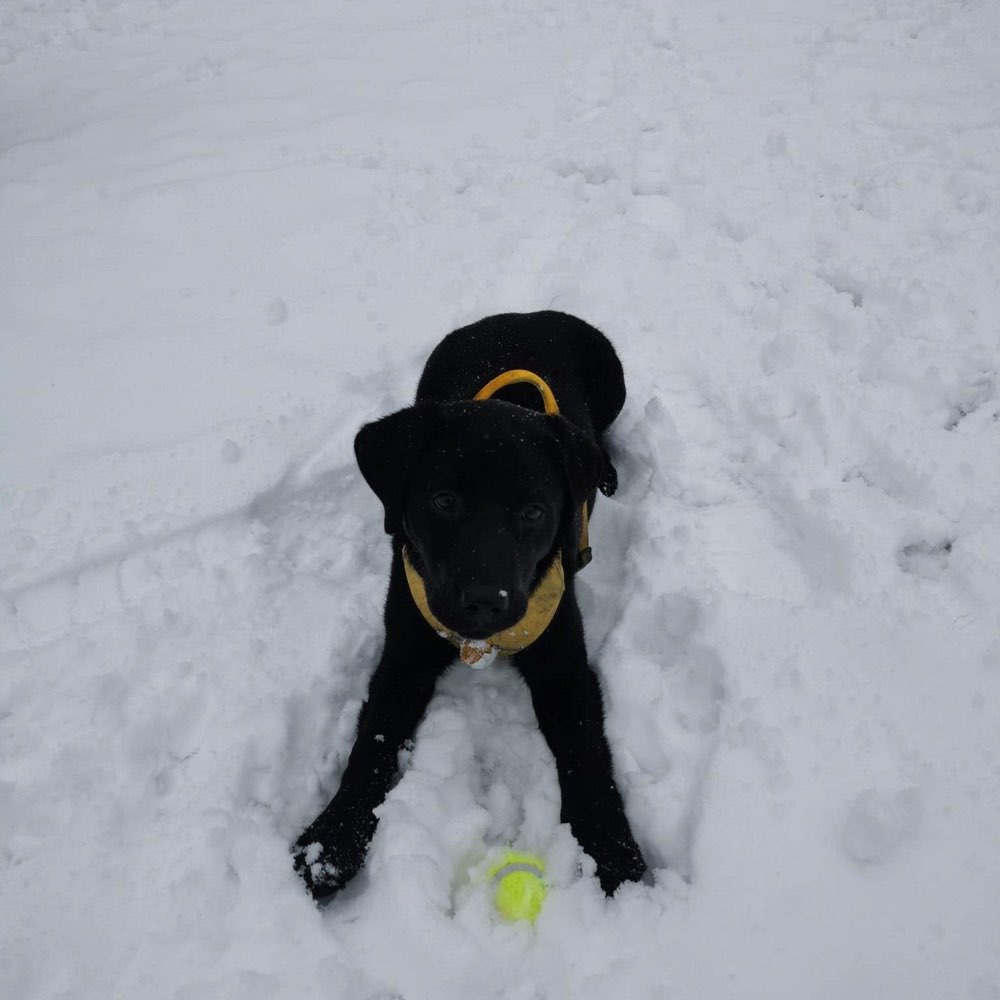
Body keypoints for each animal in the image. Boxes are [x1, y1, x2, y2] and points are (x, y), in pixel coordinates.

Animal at [292, 310, 644, 900]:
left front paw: (613, 851)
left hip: (613, 379)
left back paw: (609, 472)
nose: (483, 603)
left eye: (533, 511)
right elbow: (371, 743)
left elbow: (585, 751)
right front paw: (331, 843)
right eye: (444, 501)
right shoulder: (404, 651)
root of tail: (525, 314)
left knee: (603, 439)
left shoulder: (563, 661)